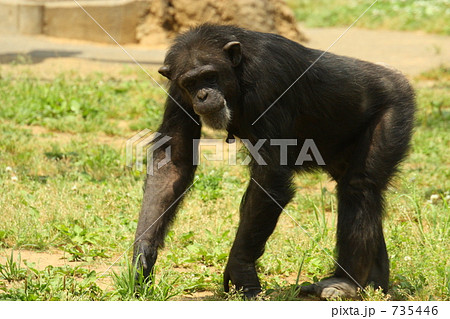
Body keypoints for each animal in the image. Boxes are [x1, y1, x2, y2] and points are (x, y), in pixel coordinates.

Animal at [132, 24, 416, 300]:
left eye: (210, 75)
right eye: (190, 82)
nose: (202, 94)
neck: (238, 75)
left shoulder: (268, 82)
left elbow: (270, 177)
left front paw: (241, 270)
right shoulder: (177, 92)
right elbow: (173, 160)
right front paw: (142, 254)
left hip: (395, 108)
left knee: (359, 188)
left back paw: (347, 282)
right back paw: (374, 284)